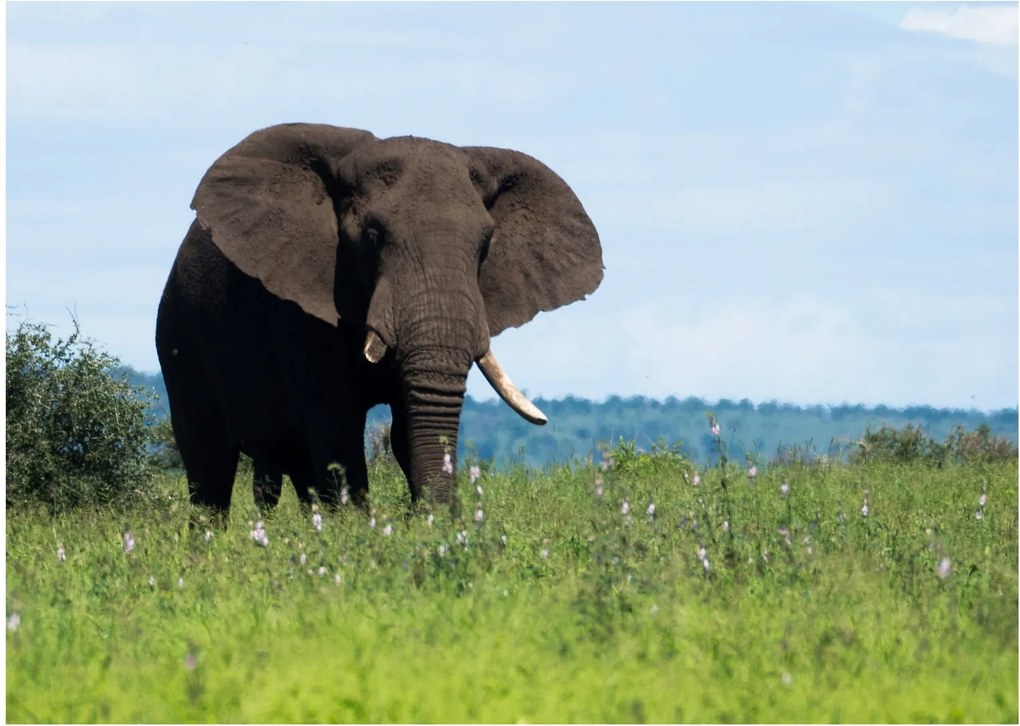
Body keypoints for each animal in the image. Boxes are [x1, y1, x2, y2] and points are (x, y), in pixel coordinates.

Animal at [155, 123, 603, 516]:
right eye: (372, 237)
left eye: (486, 244)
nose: (441, 517)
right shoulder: (297, 308)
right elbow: (336, 427)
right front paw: (359, 535)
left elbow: (405, 427)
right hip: (179, 335)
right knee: (209, 467)